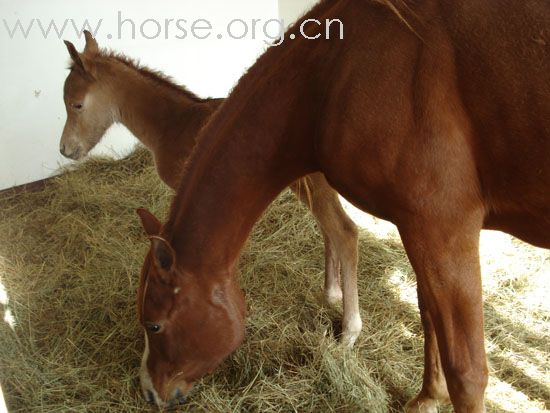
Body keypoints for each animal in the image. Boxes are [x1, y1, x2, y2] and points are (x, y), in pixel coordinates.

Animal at [59, 33, 362, 344]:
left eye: (77, 104)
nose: (65, 149)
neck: (173, 123)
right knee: (329, 229)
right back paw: (331, 293)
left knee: (344, 232)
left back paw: (349, 330)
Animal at [135, 0, 550, 410]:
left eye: (154, 324)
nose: (149, 391)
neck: (338, 71)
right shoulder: (420, 230)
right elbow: (427, 313)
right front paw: (428, 397)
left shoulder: (444, 230)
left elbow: (467, 374)